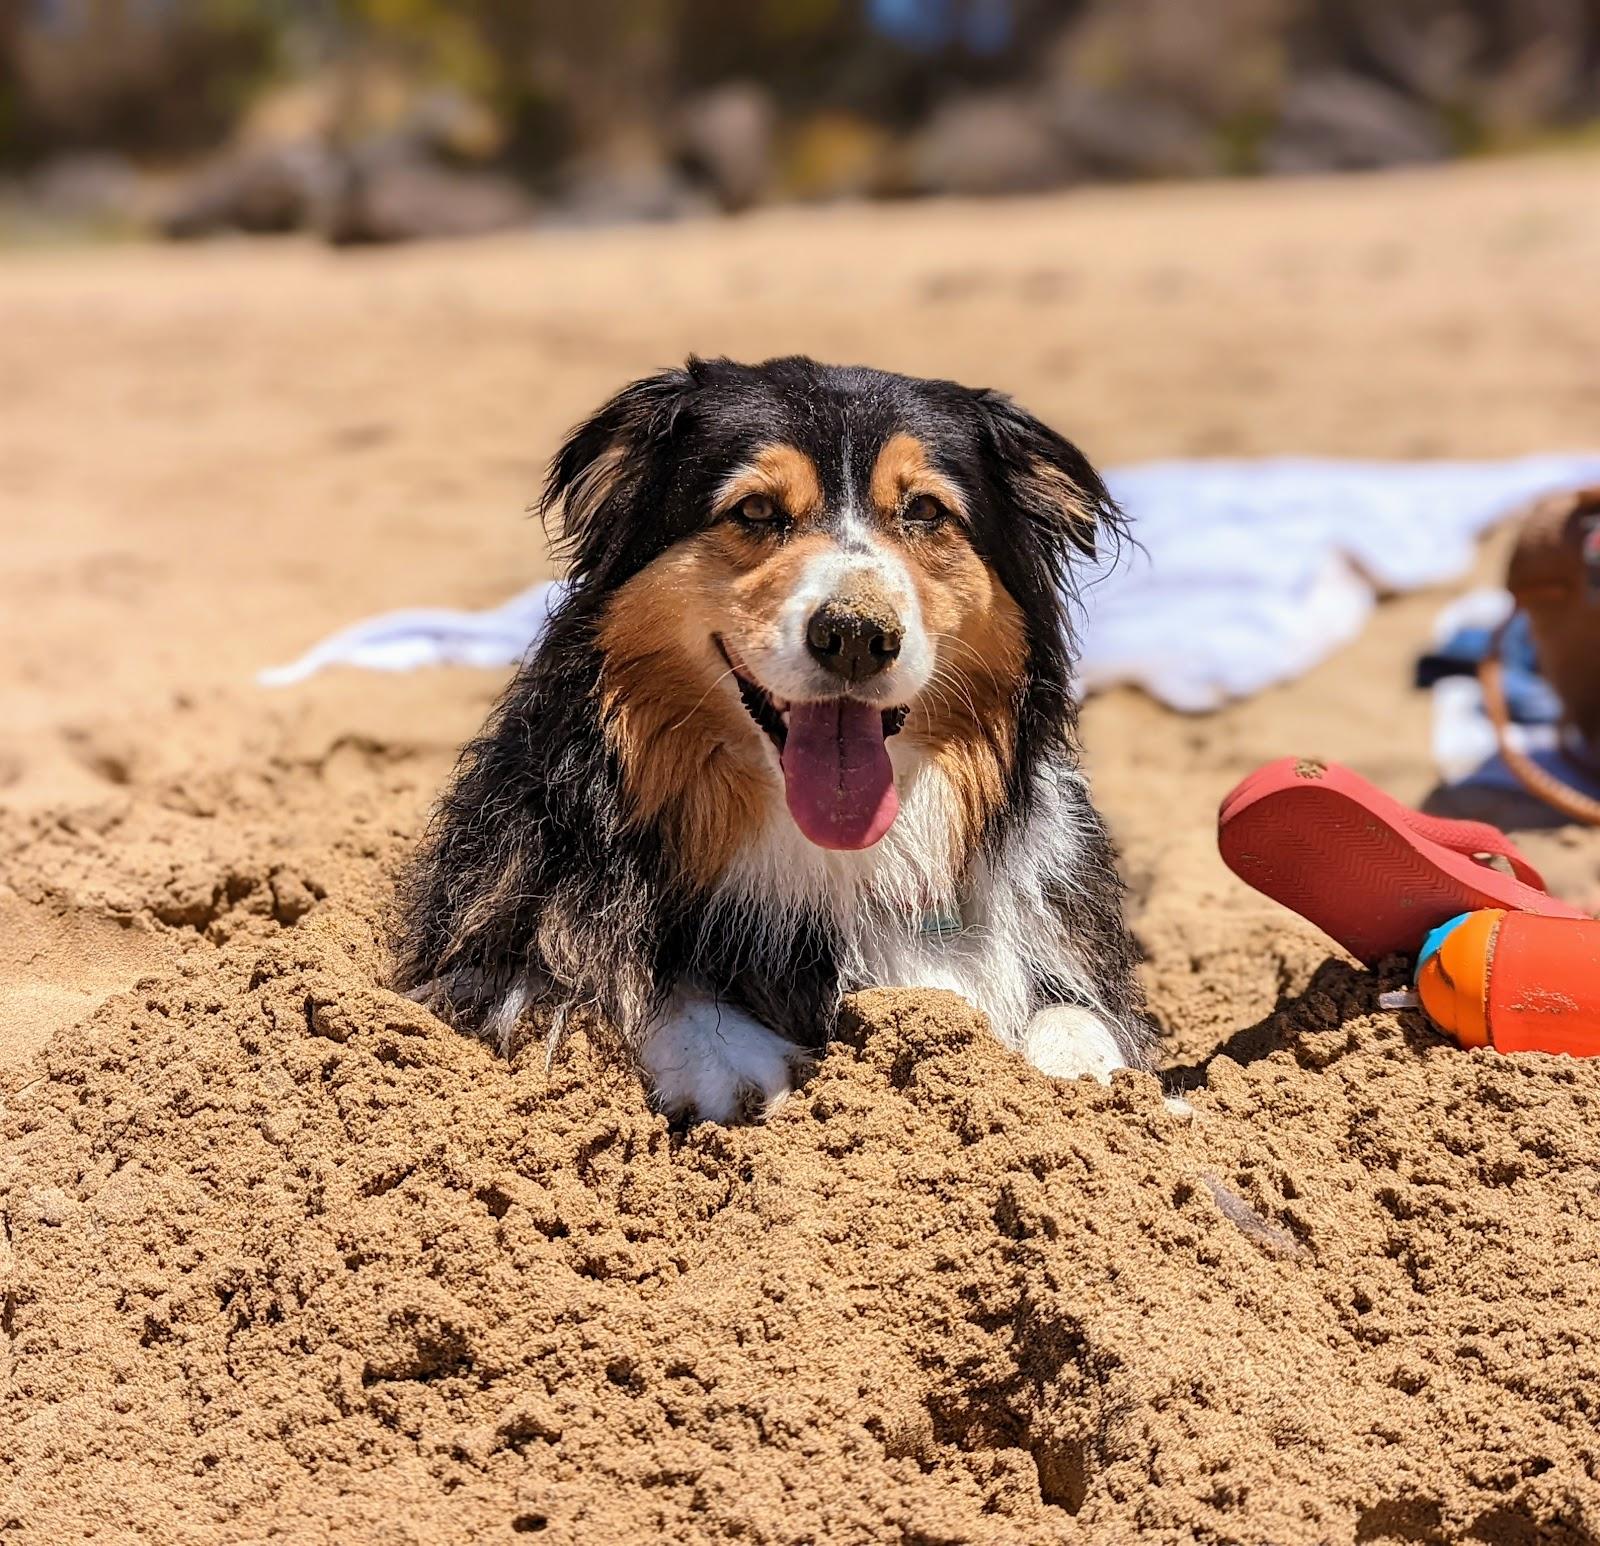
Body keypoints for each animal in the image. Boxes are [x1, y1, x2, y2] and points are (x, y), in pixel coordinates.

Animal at [395, 356, 1158, 1120]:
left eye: (925, 511)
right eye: (757, 511)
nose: (856, 636)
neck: (837, 856)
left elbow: (1075, 1014)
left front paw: (1089, 1089)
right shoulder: (509, 927)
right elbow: (631, 978)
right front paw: (739, 1071)